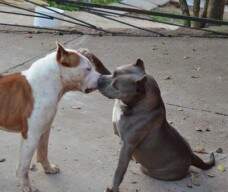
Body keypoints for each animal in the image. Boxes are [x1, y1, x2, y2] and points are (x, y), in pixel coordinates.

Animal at [0, 42, 108, 191]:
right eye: (87, 69)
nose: (102, 79)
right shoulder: (31, 136)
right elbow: (24, 166)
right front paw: (26, 186)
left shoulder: (45, 129)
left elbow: (43, 151)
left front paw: (48, 168)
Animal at [97, 58, 214, 192]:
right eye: (113, 72)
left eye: (116, 85)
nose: (99, 79)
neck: (139, 103)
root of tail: (191, 155)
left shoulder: (127, 146)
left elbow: (119, 171)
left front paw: (113, 187)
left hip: (152, 170)